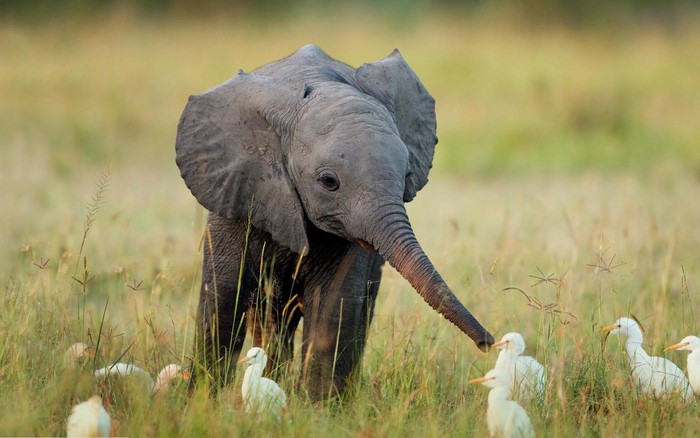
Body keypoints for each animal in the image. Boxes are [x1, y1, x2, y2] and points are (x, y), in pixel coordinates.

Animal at [175, 44, 494, 400]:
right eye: (329, 182)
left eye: (407, 176)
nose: (488, 343)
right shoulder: (237, 192)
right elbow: (223, 297)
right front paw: (201, 401)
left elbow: (334, 304)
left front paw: (318, 407)